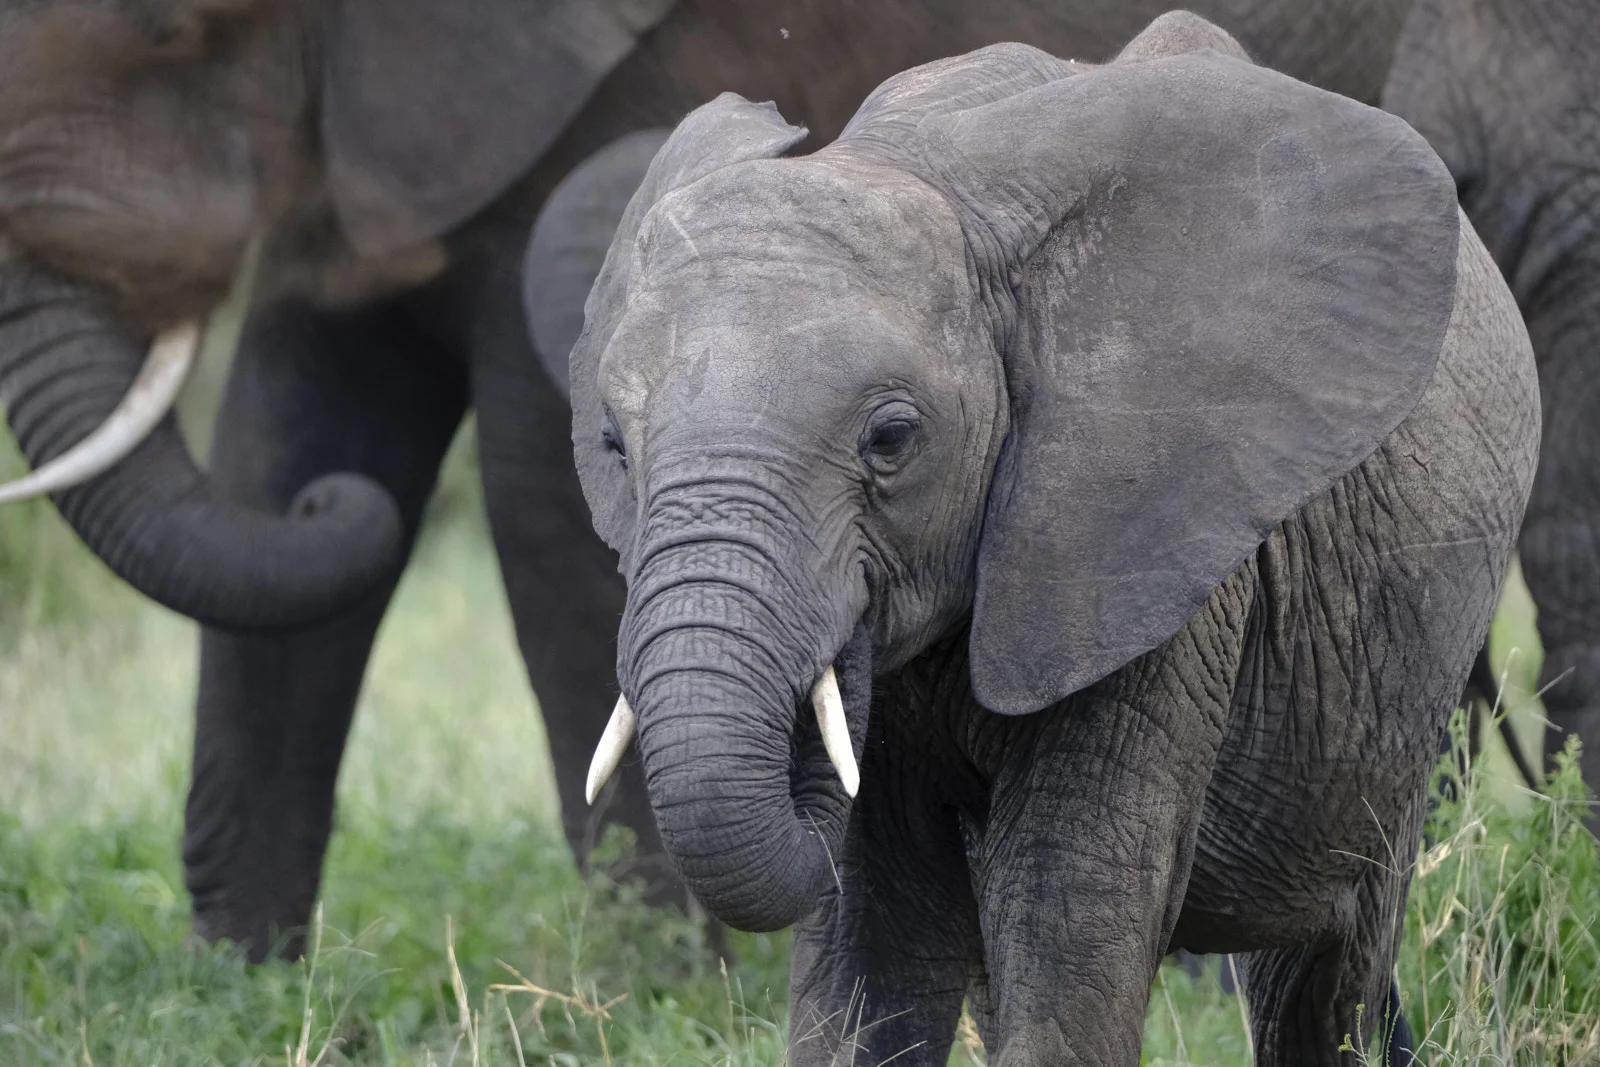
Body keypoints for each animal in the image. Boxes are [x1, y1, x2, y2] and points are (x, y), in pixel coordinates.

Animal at [562, 14, 1539, 1065]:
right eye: (613, 443)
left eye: (891, 438)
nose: (827, 671)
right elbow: (871, 941)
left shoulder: (1147, 548)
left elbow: (1068, 908)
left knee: (1326, 969)